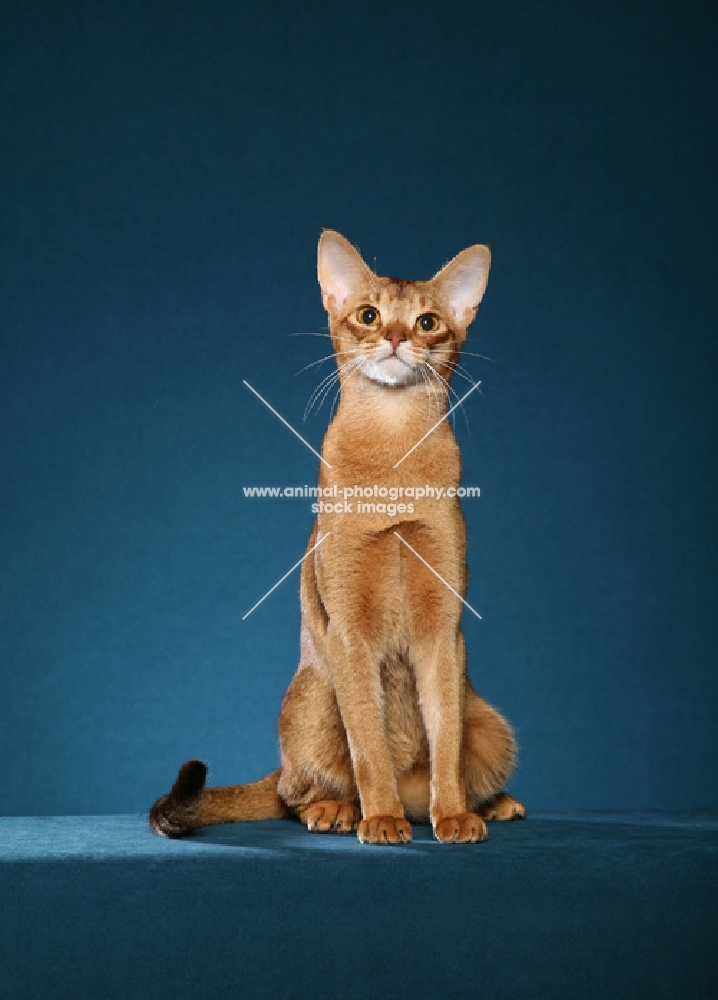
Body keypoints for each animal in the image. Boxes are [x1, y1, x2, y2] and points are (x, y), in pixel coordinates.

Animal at [150, 232, 524, 844]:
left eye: (426, 323)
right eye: (369, 315)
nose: (395, 337)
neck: (392, 460)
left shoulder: (443, 630)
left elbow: (445, 737)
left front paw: (453, 816)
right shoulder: (347, 628)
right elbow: (368, 742)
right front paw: (382, 819)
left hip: (490, 721)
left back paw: (486, 805)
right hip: (313, 696)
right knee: (291, 790)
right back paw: (342, 811)